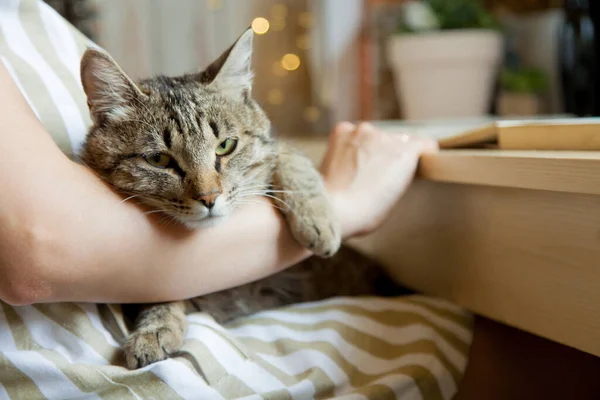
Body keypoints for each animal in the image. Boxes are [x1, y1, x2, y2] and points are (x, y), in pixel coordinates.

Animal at [78, 28, 404, 370]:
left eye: (225, 146)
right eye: (157, 159)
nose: (209, 197)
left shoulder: (271, 149)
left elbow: (287, 152)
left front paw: (317, 218)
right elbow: (160, 291)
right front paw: (155, 328)